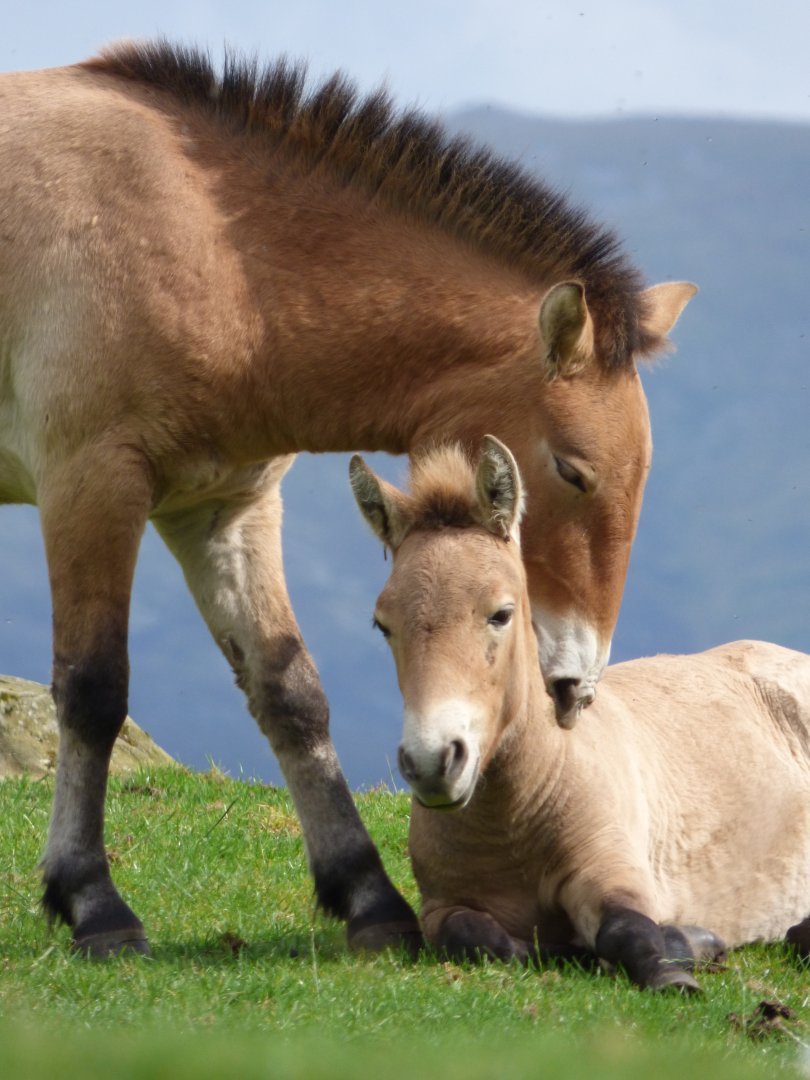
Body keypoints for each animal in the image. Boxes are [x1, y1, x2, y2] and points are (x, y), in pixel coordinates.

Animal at [0, 39, 694, 957]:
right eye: (574, 471)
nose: (577, 686)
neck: (205, 242)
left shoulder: (224, 510)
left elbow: (290, 692)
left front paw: (369, 896)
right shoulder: (90, 484)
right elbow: (91, 689)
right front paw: (92, 903)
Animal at [350, 438, 810, 990]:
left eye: (501, 613)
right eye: (383, 624)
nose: (432, 762)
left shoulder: (610, 868)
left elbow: (626, 930)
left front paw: (677, 965)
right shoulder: (444, 904)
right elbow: (478, 938)